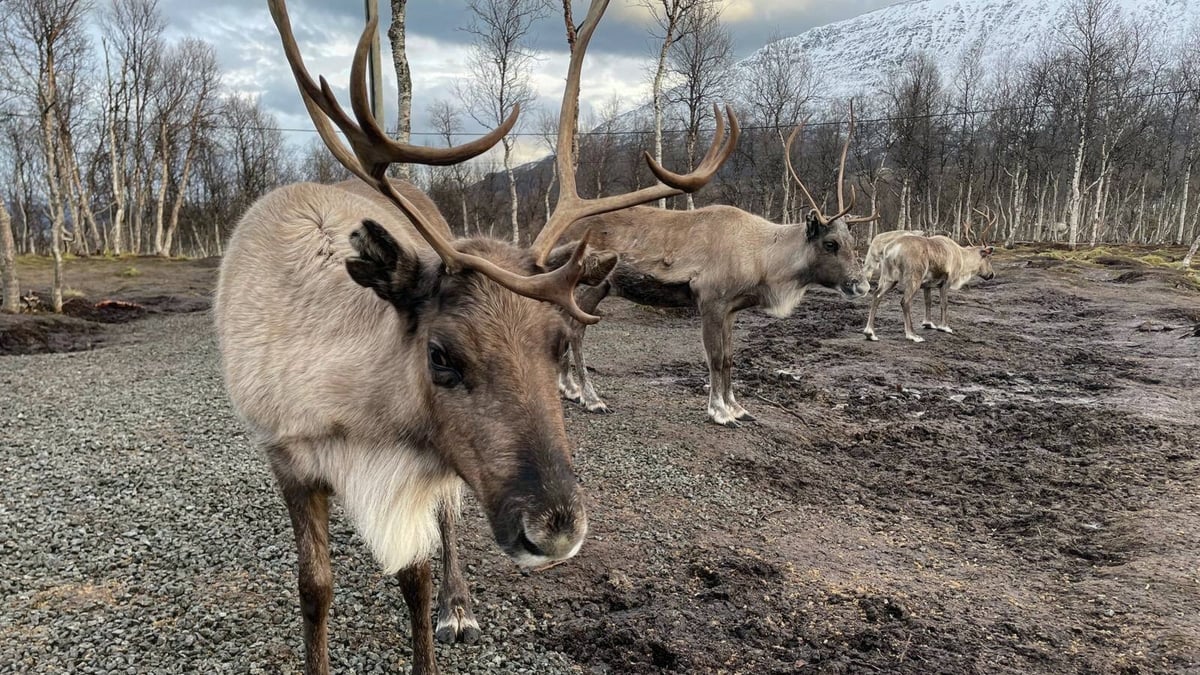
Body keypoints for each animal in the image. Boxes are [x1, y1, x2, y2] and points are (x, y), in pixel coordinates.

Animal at [213, 1, 737, 673]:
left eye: (558, 346)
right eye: (440, 354)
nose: (557, 529)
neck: (354, 412)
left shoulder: (421, 468)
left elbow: (416, 575)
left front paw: (442, 616)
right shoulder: (288, 459)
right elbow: (315, 588)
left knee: (449, 524)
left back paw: (459, 604)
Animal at [554, 104, 877, 426]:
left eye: (850, 239)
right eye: (830, 243)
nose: (862, 285)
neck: (761, 256)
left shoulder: (731, 310)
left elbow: (730, 357)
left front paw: (737, 407)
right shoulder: (710, 302)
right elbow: (716, 357)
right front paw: (720, 411)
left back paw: (569, 388)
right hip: (590, 287)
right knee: (575, 331)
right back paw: (590, 397)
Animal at [862, 208, 997, 343]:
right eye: (988, 258)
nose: (992, 274)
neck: (962, 258)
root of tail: (891, 249)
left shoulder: (927, 284)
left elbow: (928, 302)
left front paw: (928, 323)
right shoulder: (946, 281)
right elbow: (944, 303)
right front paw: (945, 327)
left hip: (889, 277)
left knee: (877, 295)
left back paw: (870, 333)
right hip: (914, 278)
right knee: (905, 301)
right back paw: (912, 335)